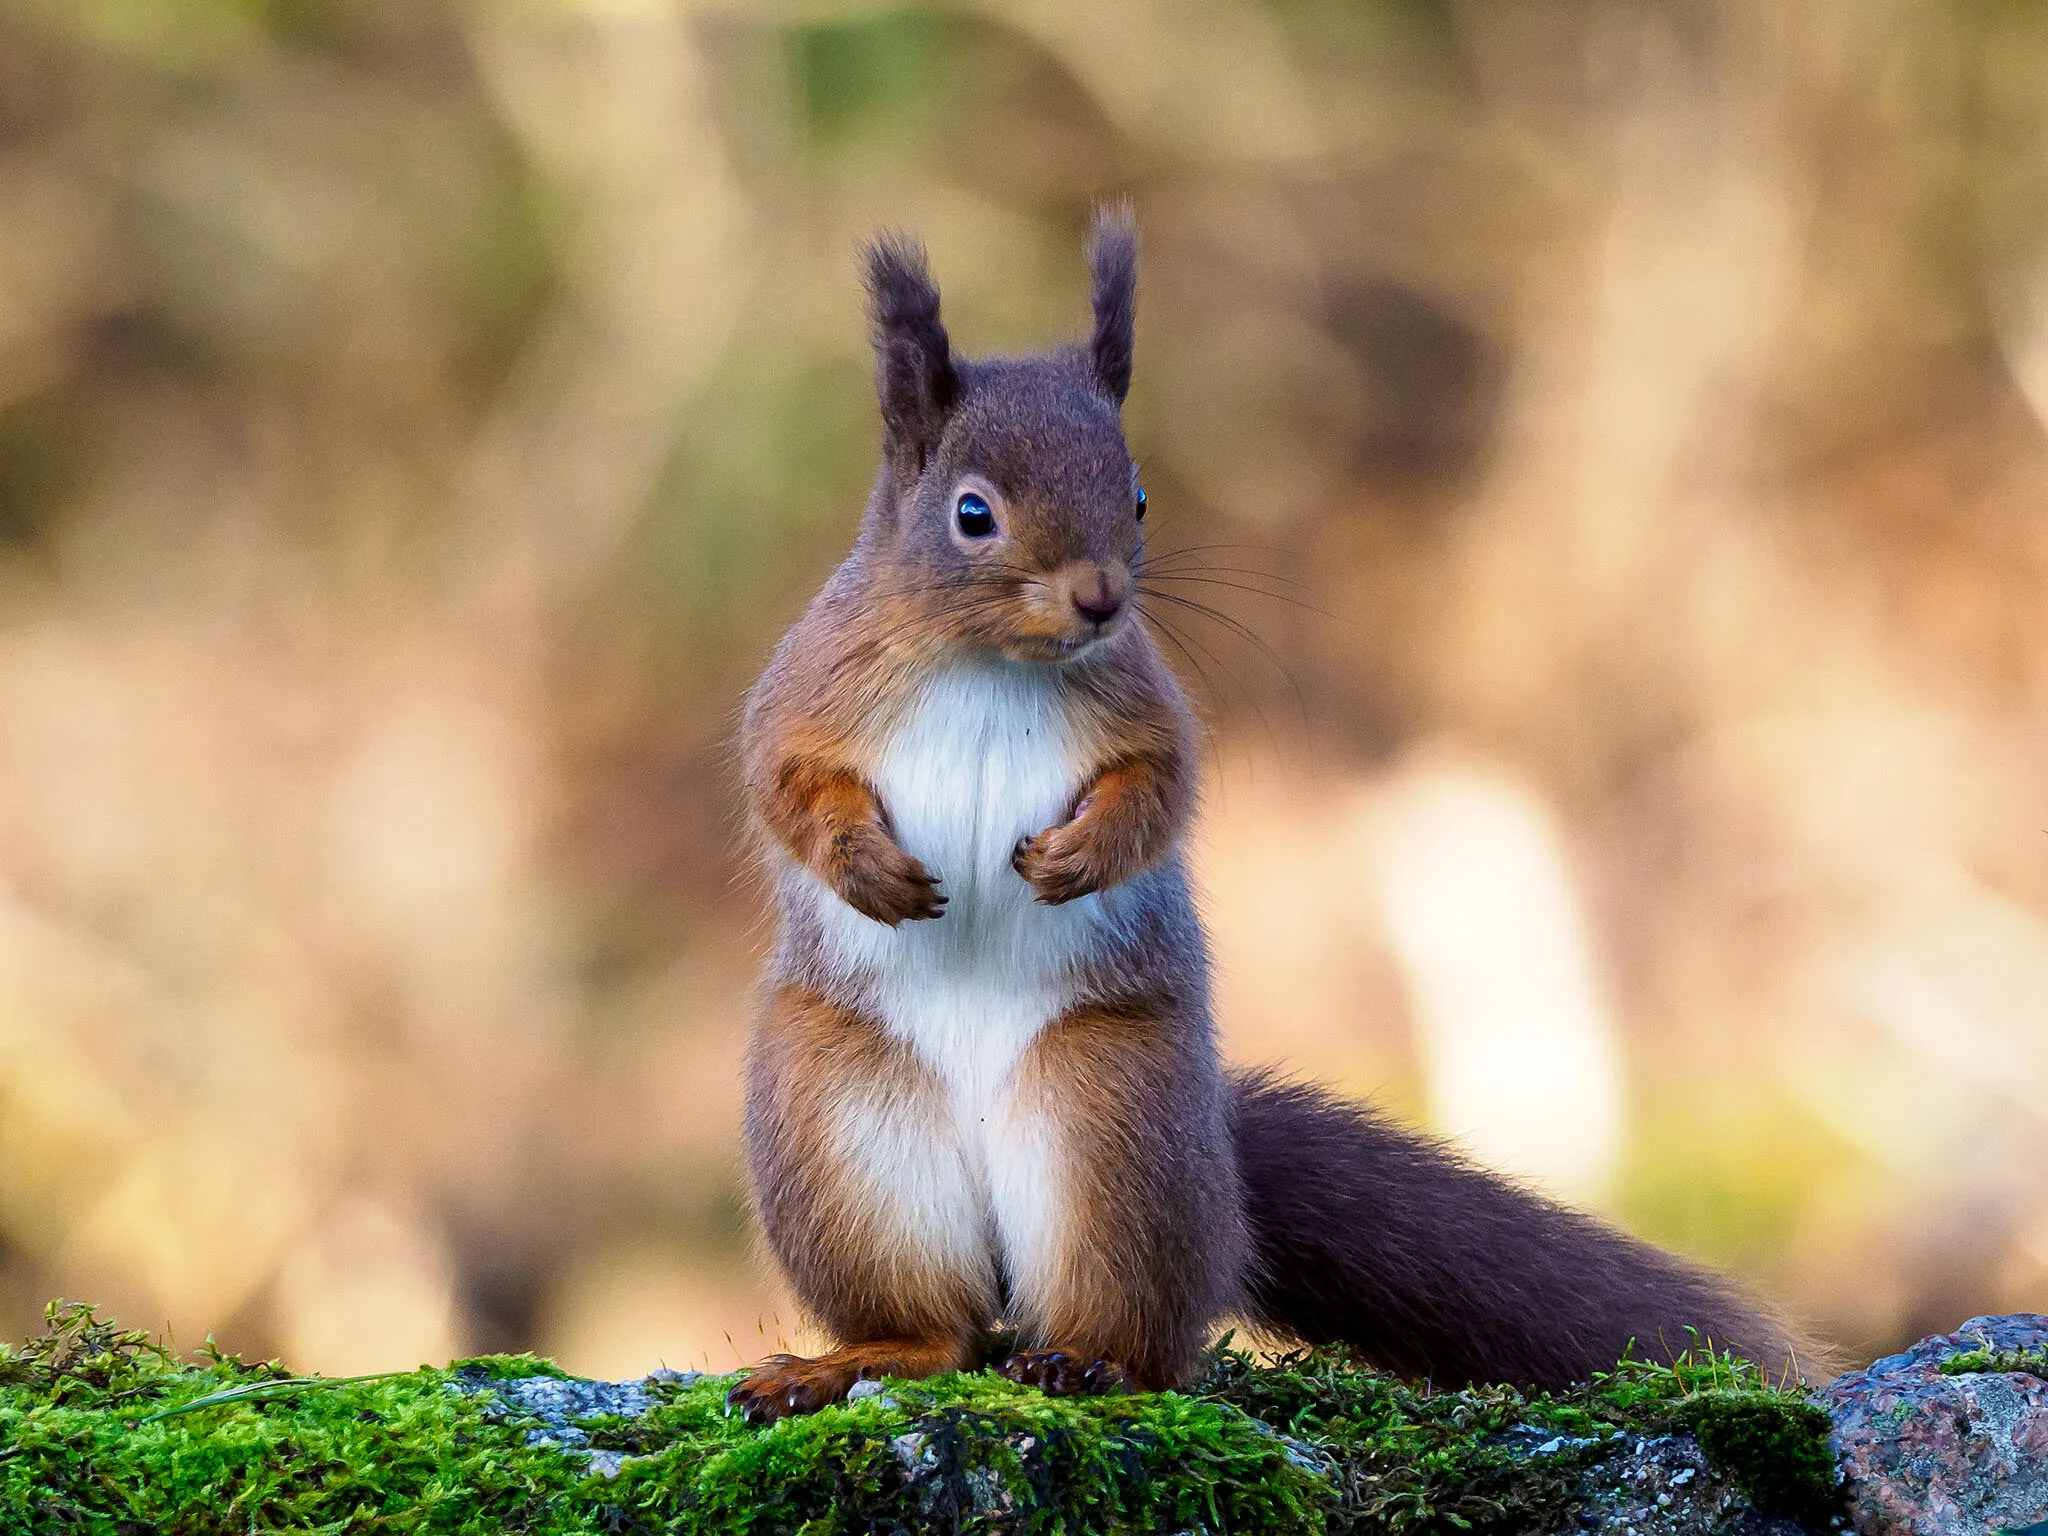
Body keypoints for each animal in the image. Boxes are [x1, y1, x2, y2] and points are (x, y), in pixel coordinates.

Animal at [726, 207, 1803, 1424]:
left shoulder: (1144, 711)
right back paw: (854, 1359)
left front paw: (1073, 860)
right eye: (971, 514)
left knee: (1137, 1336)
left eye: (1137, 497)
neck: (990, 665)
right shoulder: (810, 689)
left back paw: (1088, 1362)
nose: (1099, 596)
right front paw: (868, 869)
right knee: (943, 1334)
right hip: (842, 1131)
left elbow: (1158, 792)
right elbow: (783, 787)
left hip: (1115, 1127)